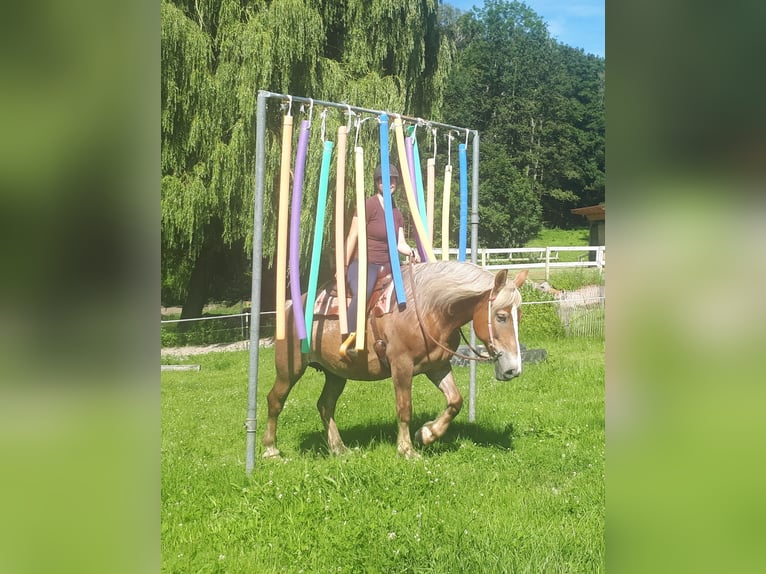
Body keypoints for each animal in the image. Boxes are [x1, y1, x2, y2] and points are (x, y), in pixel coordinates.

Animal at [262, 264, 528, 462]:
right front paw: (407, 450)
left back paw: (339, 449)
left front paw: (427, 434)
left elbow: (455, 401)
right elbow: (404, 408)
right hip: (289, 369)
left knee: (325, 405)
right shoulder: (402, 367)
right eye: (501, 316)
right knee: (275, 400)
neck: (428, 310)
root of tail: (289, 306)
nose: (513, 370)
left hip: (336, 373)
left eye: (520, 315)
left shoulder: (437, 367)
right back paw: (271, 450)